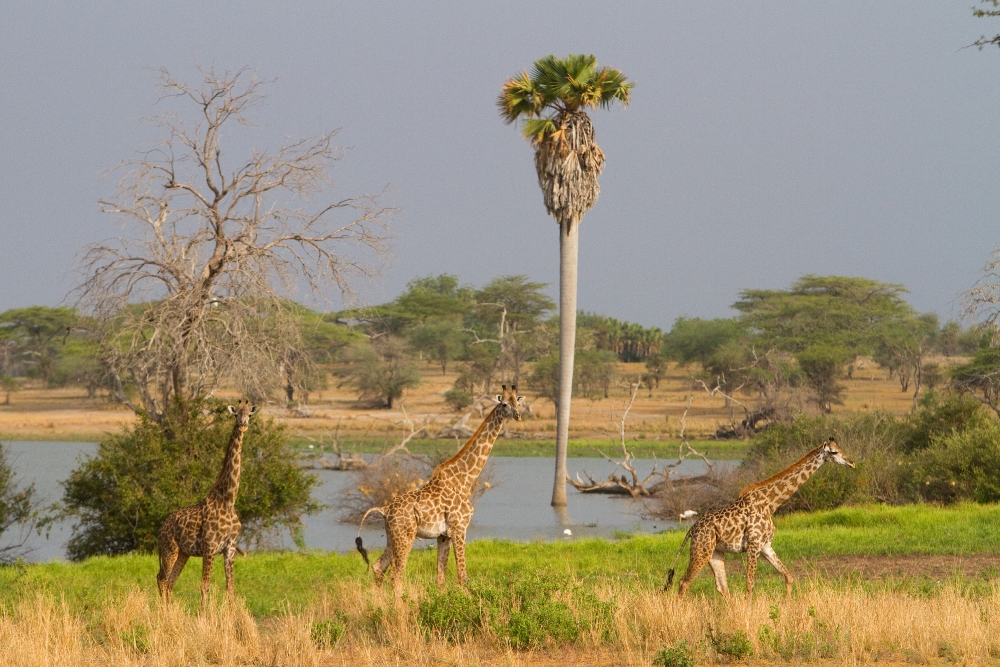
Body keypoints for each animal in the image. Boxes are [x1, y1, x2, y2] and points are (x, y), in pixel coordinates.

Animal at [156, 400, 258, 612]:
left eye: (249, 414)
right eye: (236, 414)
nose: (243, 423)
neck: (228, 501)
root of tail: (160, 529)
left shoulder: (230, 548)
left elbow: (230, 586)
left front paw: (232, 616)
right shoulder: (210, 547)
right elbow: (205, 585)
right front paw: (203, 616)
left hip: (184, 552)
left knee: (170, 582)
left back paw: (168, 613)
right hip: (169, 549)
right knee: (161, 579)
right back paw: (163, 614)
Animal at [356, 386, 524, 596]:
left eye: (518, 402)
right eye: (504, 404)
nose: (517, 415)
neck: (464, 479)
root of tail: (385, 510)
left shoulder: (444, 535)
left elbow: (441, 579)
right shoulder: (459, 528)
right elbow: (462, 577)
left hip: (392, 536)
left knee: (379, 566)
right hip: (405, 536)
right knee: (396, 575)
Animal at [664, 438, 852, 600]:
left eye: (841, 449)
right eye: (834, 452)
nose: (851, 462)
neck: (770, 504)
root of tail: (691, 530)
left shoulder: (766, 545)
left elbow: (788, 576)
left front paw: (785, 606)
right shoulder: (753, 545)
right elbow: (750, 583)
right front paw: (749, 613)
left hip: (714, 553)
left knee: (721, 586)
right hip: (701, 550)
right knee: (684, 581)